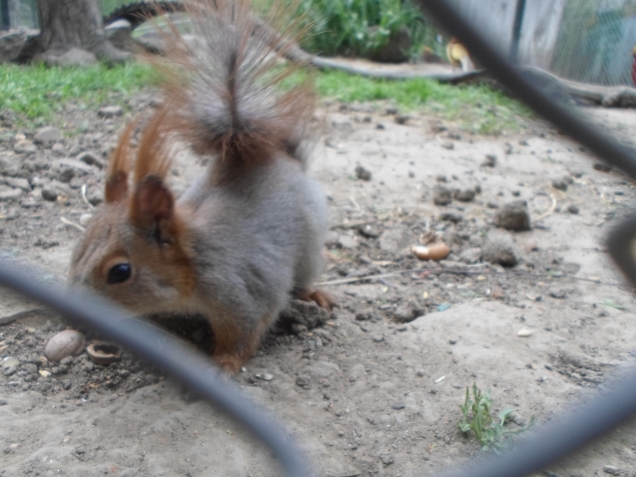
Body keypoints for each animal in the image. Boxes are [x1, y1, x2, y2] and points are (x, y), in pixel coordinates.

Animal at [69, 0, 336, 372]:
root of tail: (278, 158)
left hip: (310, 241)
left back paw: (313, 293)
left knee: (306, 273)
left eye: (120, 271)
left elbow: (244, 333)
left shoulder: (239, 293)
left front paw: (222, 364)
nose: (71, 315)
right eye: (75, 251)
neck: (192, 261)